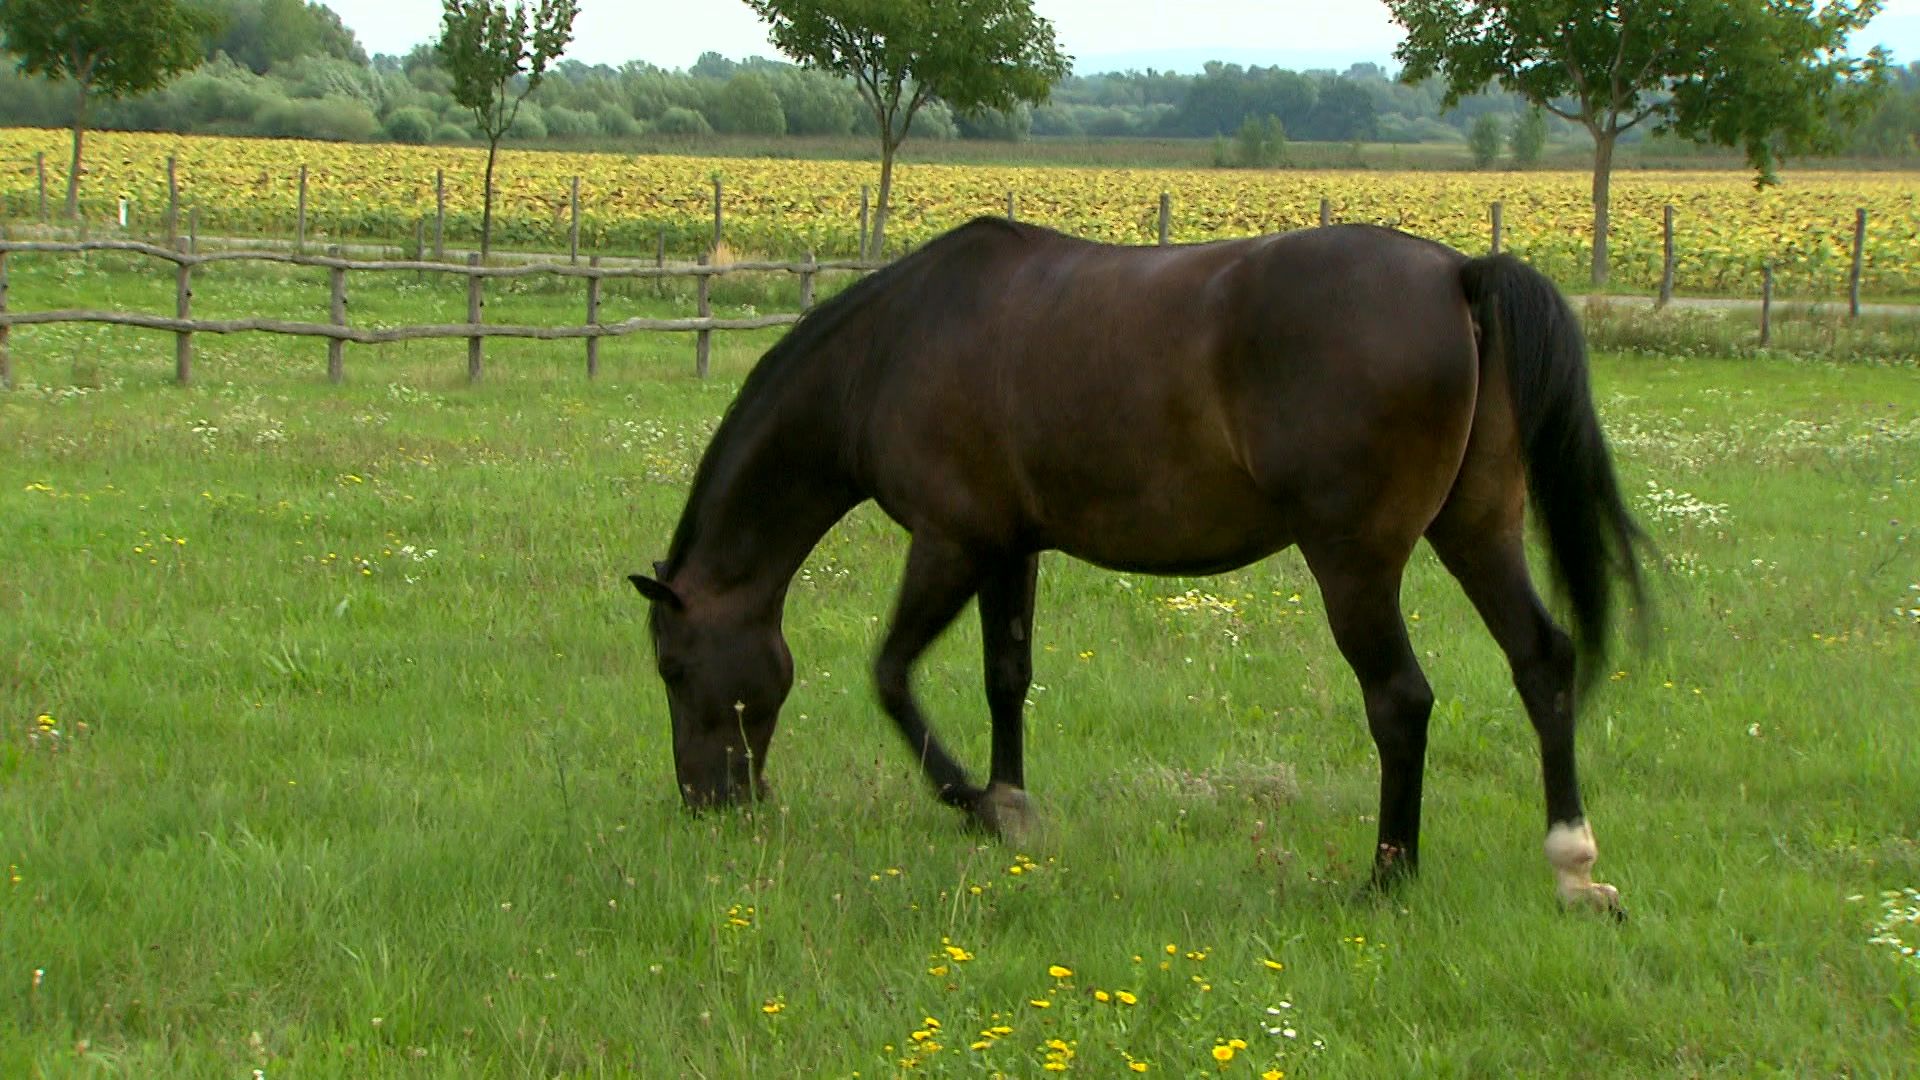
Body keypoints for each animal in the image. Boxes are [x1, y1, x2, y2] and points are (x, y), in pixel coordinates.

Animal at [633, 216, 1651, 907]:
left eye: (675, 669)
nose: (709, 804)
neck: (891, 349)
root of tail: (1459, 273)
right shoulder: (1009, 548)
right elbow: (1007, 677)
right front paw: (1013, 803)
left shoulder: (950, 542)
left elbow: (890, 676)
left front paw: (976, 803)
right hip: (1477, 530)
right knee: (1543, 662)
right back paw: (1574, 865)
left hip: (1355, 563)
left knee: (1401, 701)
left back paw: (1386, 879)